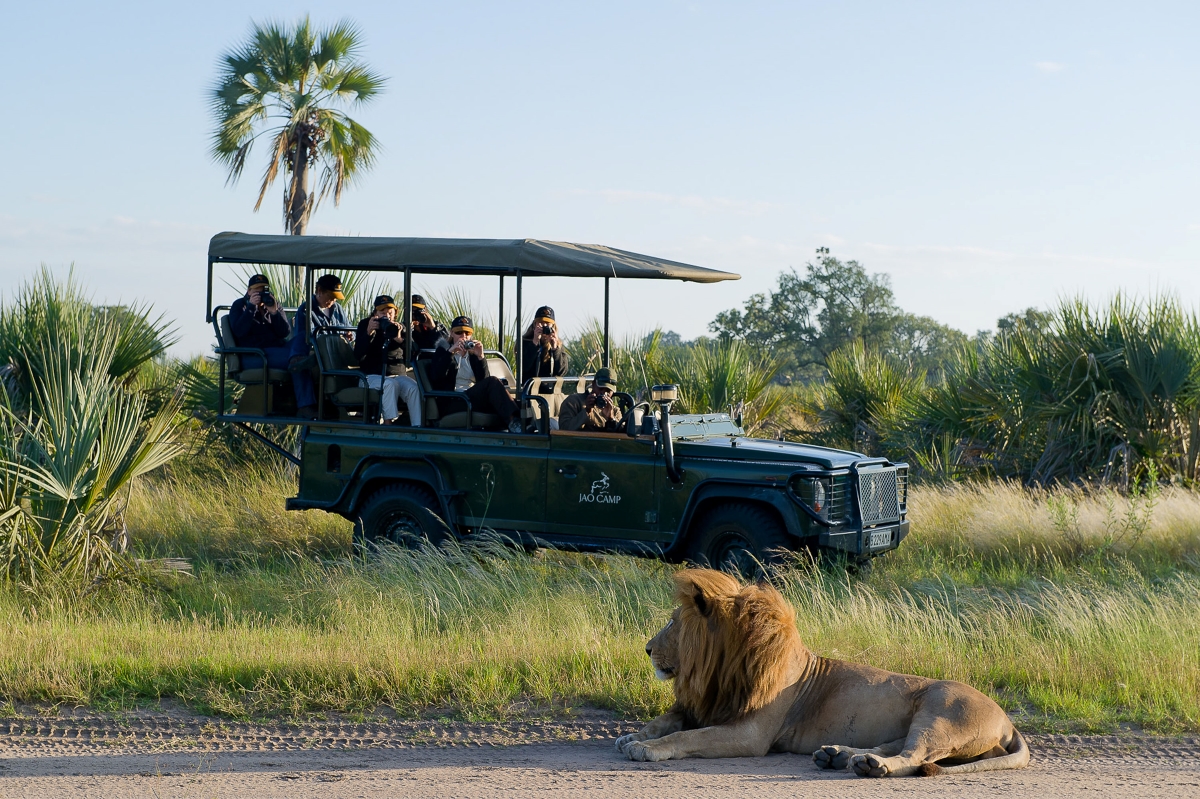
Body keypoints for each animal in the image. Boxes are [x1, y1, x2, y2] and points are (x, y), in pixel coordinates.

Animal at [619, 568, 1032, 772]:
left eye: (673, 623)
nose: (647, 649)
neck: (721, 669)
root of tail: (1007, 719)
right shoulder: (708, 705)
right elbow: (668, 721)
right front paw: (633, 736)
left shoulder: (751, 733)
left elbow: (688, 736)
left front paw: (645, 748)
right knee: (901, 747)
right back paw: (841, 756)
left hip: (939, 712)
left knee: (916, 757)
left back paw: (871, 766)